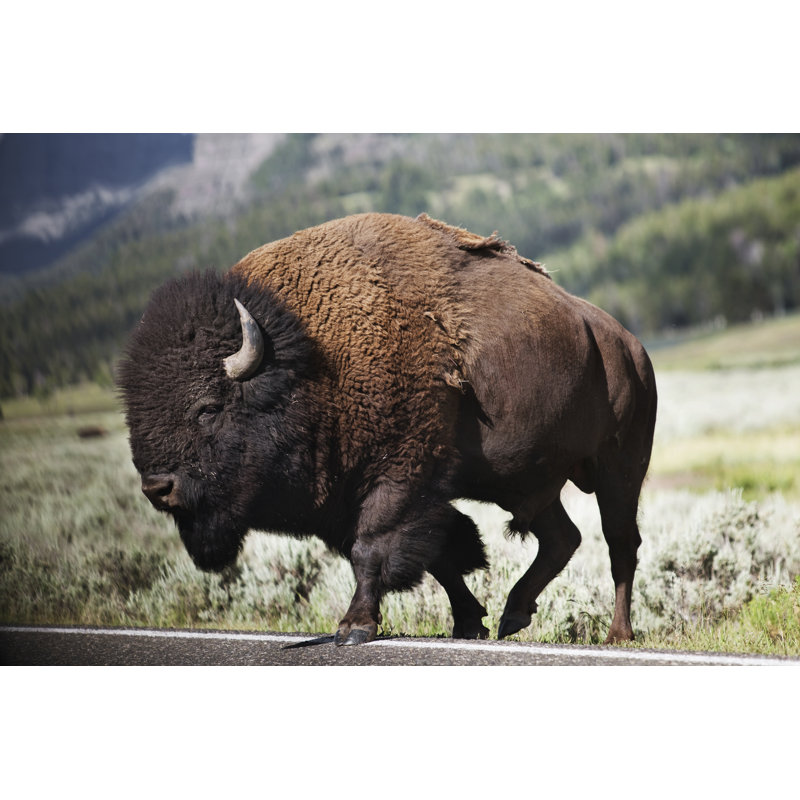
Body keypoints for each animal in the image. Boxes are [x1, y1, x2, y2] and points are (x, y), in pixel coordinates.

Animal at [119, 213, 657, 646]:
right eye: (135, 413)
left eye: (208, 408)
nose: (157, 487)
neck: (310, 360)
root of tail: (627, 344)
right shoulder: (352, 496)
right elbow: (438, 553)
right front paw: (469, 623)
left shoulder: (397, 476)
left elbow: (374, 548)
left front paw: (352, 628)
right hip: (527, 482)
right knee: (562, 538)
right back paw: (513, 615)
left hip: (618, 467)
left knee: (619, 544)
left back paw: (617, 634)